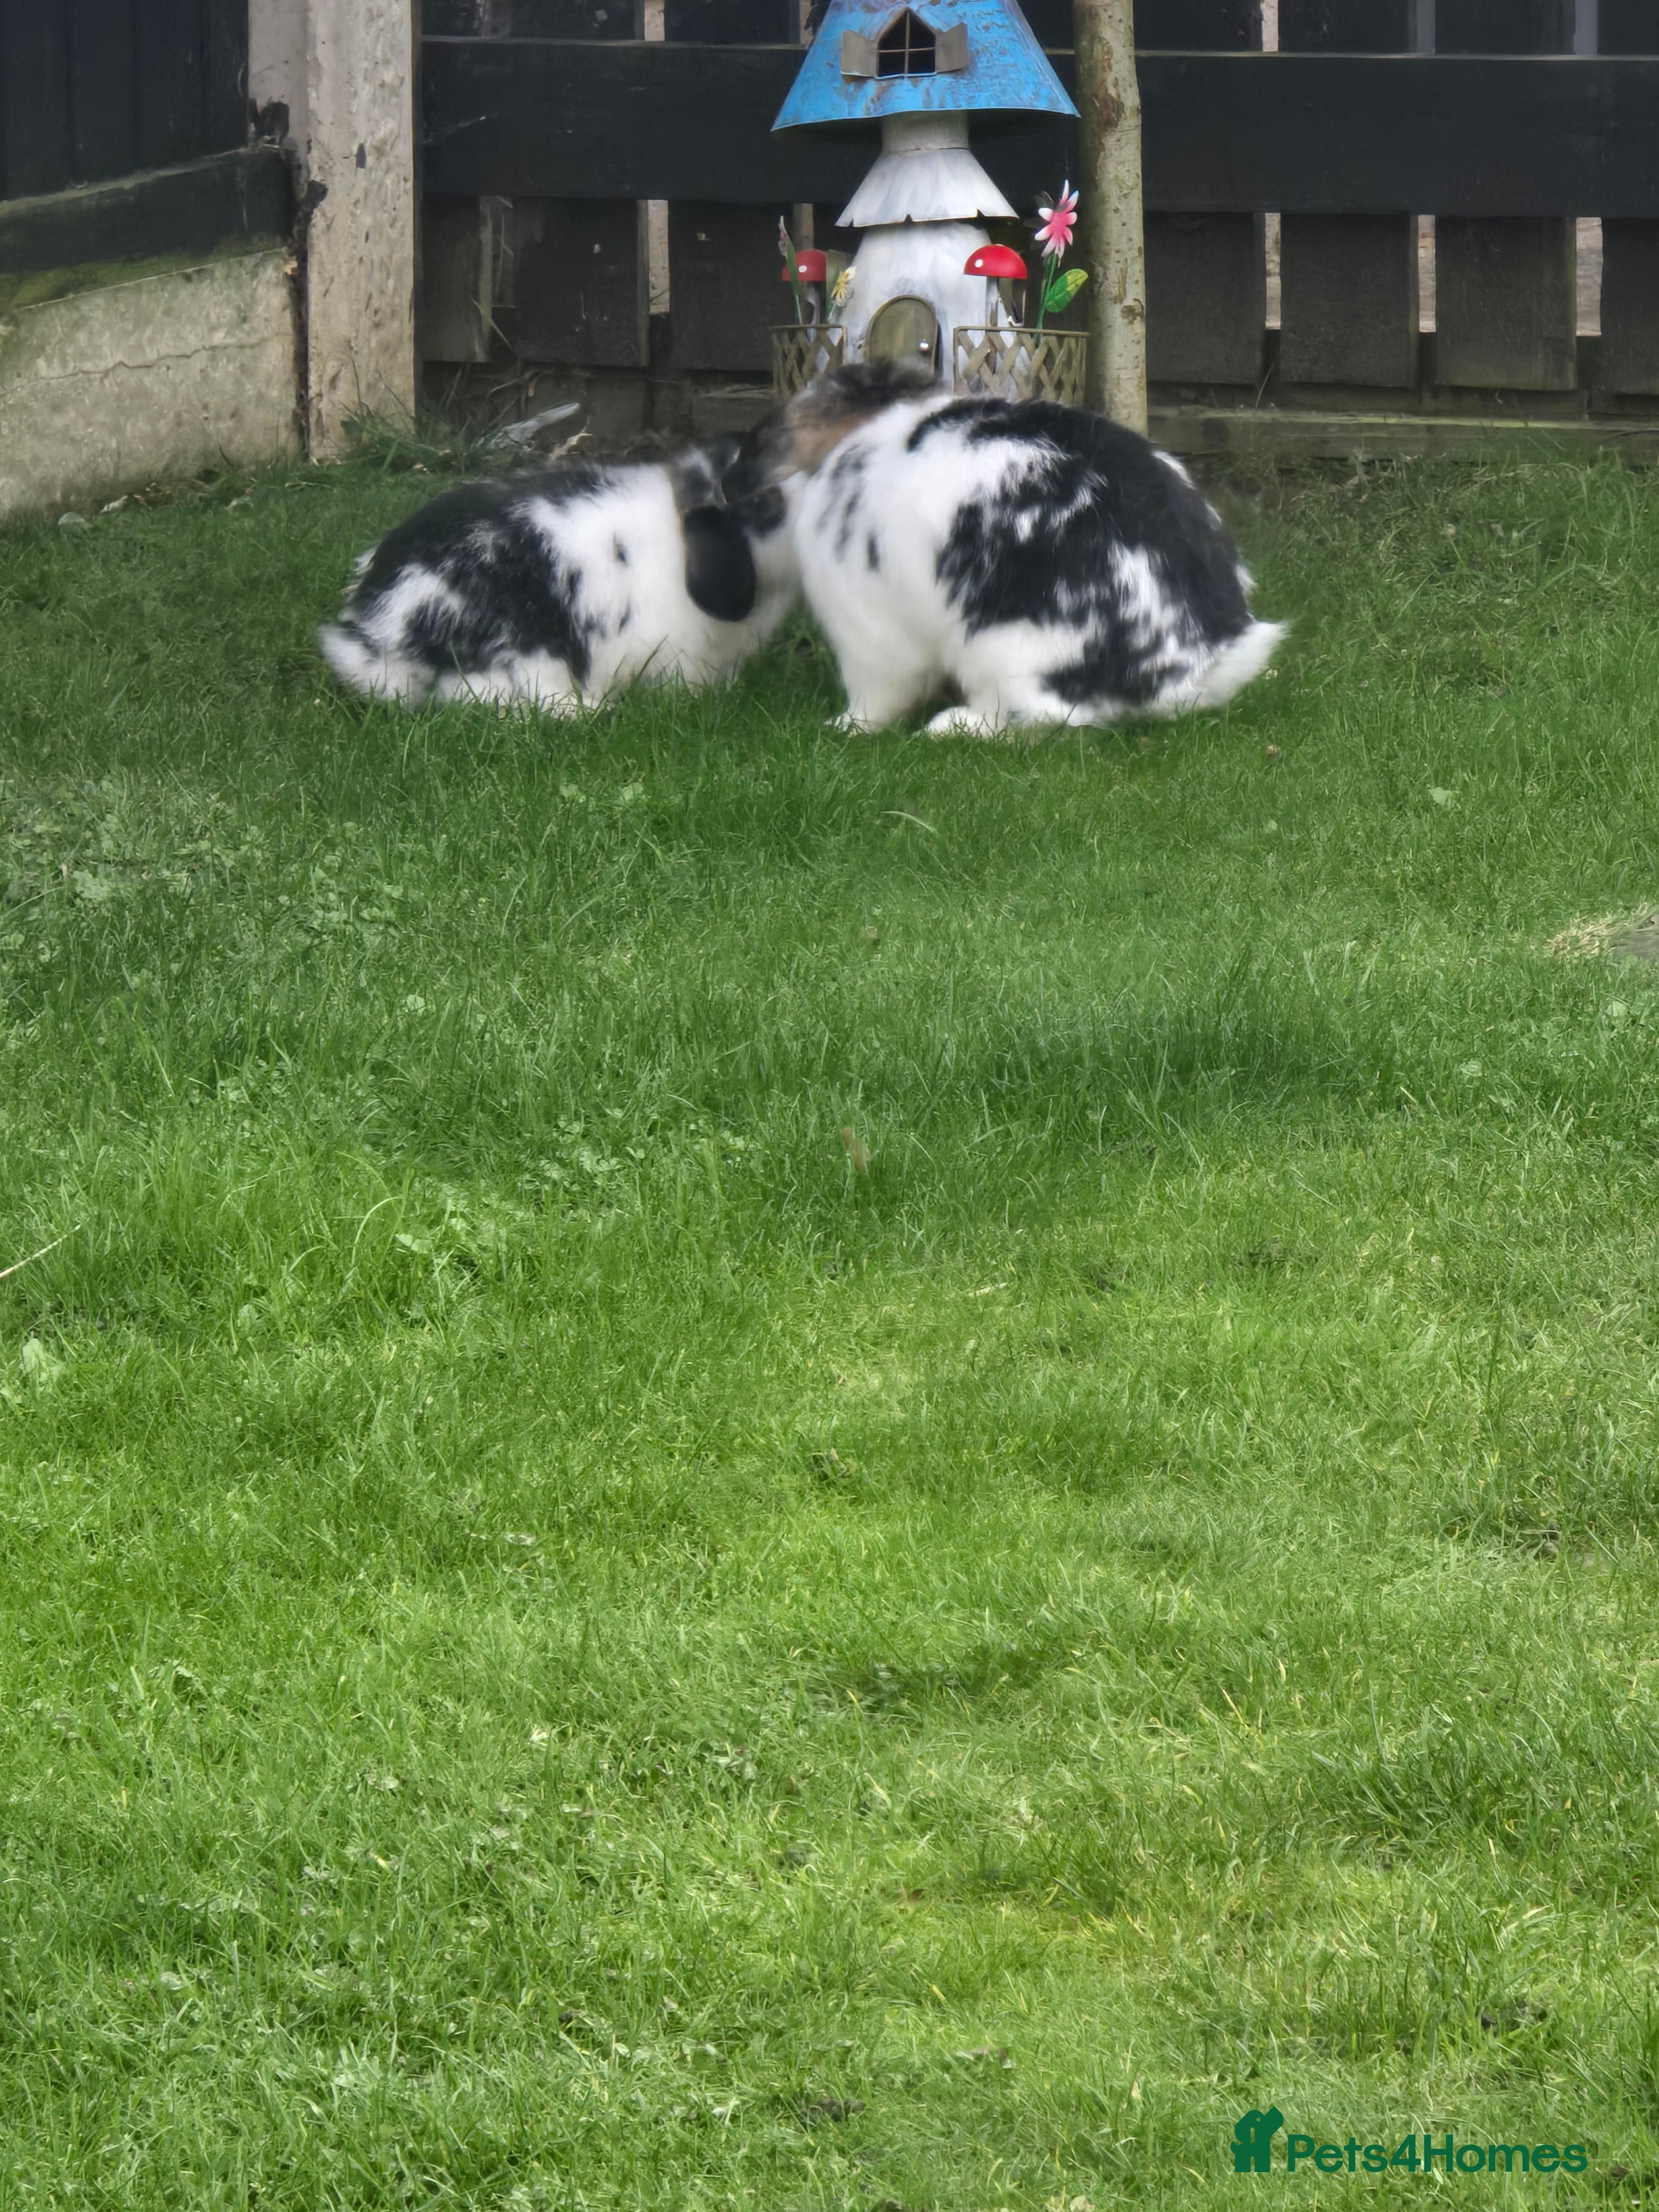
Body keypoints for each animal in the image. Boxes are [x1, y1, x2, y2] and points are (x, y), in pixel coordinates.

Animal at [781, 364, 1285, 738]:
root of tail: (1174, 670)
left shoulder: (870, 636)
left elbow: (878, 696)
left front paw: (845, 726)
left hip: (1004, 655)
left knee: (1028, 717)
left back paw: (951, 726)